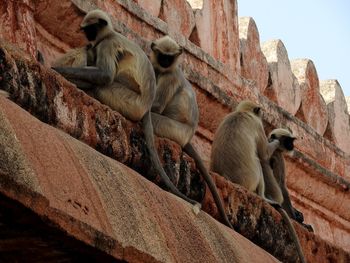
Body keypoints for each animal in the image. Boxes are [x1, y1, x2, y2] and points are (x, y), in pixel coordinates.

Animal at [50, 9, 201, 210]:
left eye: (90, 29)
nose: (87, 35)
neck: (111, 34)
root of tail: (145, 105)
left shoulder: (107, 44)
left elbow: (105, 75)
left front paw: (57, 68)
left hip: (131, 102)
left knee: (104, 84)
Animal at [149, 36, 234, 230]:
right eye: (162, 56)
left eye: (169, 58)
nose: (165, 63)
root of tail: (188, 136)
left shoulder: (170, 76)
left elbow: (155, 107)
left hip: (173, 130)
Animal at [211, 102, 306, 262]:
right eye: (289, 141)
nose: (292, 146)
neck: (242, 112)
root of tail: (226, 176)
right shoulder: (260, 128)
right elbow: (267, 156)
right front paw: (295, 217)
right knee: (259, 160)